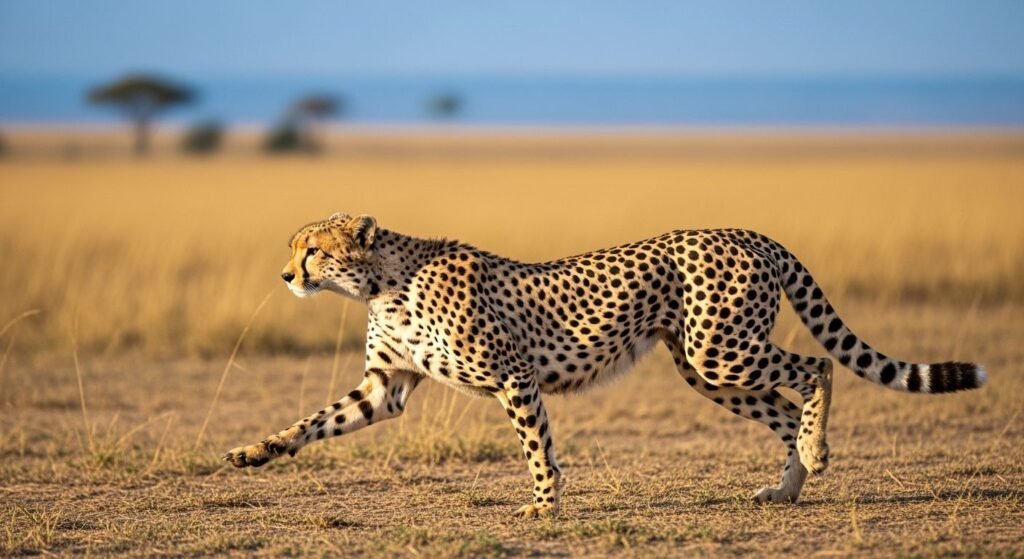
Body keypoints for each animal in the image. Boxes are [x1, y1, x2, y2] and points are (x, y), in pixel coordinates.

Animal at [225, 212, 987, 517]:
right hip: (705, 367)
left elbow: (537, 447)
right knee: (782, 405)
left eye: (313, 249)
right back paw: (788, 484)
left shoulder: (513, 375)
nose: (286, 273)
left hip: (722, 350)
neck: (381, 280)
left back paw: (817, 454)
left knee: (815, 369)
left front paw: (543, 504)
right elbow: (312, 422)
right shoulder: (385, 386)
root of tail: (746, 231)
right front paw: (252, 451)